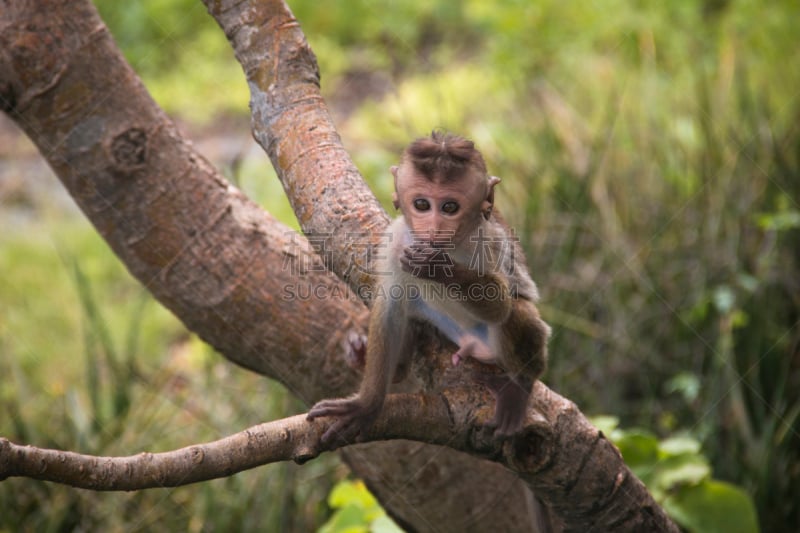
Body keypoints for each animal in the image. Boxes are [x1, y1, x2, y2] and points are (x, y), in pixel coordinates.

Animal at [306, 132, 552, 440]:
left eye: (450, 207)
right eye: (422, 204)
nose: (434, 227)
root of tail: (471, 345)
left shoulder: (489, 240)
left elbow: (501, 306)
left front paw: (437, 266)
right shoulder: (396, 240)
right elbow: (390, 308)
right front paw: (367, 405)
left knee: (517, 312)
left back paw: (520, 388)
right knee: (408, 312)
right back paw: (385, 365)